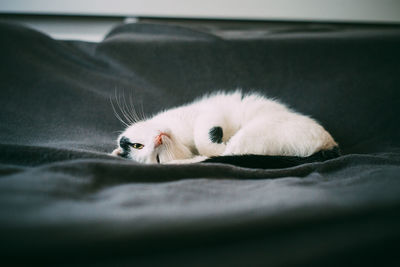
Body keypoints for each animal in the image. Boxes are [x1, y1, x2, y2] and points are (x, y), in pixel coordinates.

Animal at [111, 91, 338, 164]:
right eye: (157, 159)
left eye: (138, 146)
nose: (158, 139)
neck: (183, 142)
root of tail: (330, 146)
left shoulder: (207, 113)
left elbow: (203, 136)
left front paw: (215, 139)